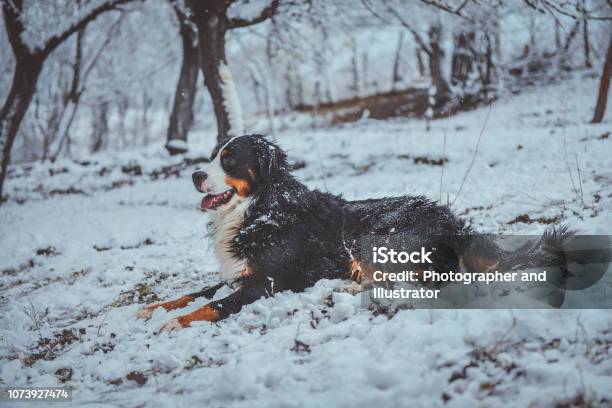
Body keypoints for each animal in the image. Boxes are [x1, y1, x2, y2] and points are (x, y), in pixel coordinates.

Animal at [136, 134, 600, 332]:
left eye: (229, 160)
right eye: (212, 156)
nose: (196, 175)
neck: (260, 208)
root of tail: (452, 222)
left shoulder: (265, 282)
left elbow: (212, 306)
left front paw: (171, 324)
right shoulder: (239, 273)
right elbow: (193, 293)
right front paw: (150, 310)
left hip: (377, 235)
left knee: (426, 281)